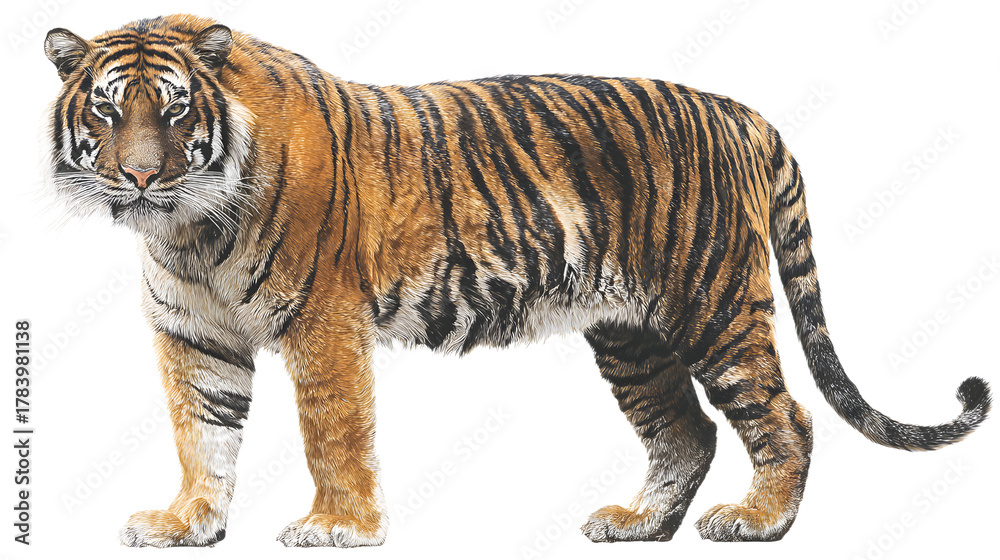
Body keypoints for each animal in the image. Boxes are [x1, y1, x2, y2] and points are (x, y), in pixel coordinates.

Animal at [43, 14, 990, 547]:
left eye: (174, 110)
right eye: (107, 109)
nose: (137, 176)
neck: (189, 226)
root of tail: (743, 113)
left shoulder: (324, 325)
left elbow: (332, 434)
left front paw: (337, 528)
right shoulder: (193, 335)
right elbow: (199, 434)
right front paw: (186, 525)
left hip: (713, 304)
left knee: (782, 415)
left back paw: (759, 522)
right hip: (631, 335)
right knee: (686, 432)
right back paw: (639, 525)